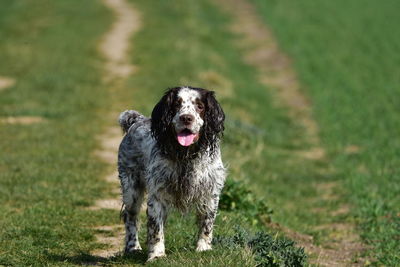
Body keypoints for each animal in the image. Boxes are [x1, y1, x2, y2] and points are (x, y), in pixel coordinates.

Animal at [117, 86, 227, 262]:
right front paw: (157, 254)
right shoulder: (157, 195)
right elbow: (155, 228)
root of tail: (136, 120)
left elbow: (207, 223)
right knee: (131, 217)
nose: (186, 118)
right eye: (177, 104)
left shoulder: (210, 193)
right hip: (131, 190)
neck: (186, 155)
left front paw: (203, 248)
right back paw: (133, 247)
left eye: (200, 106)